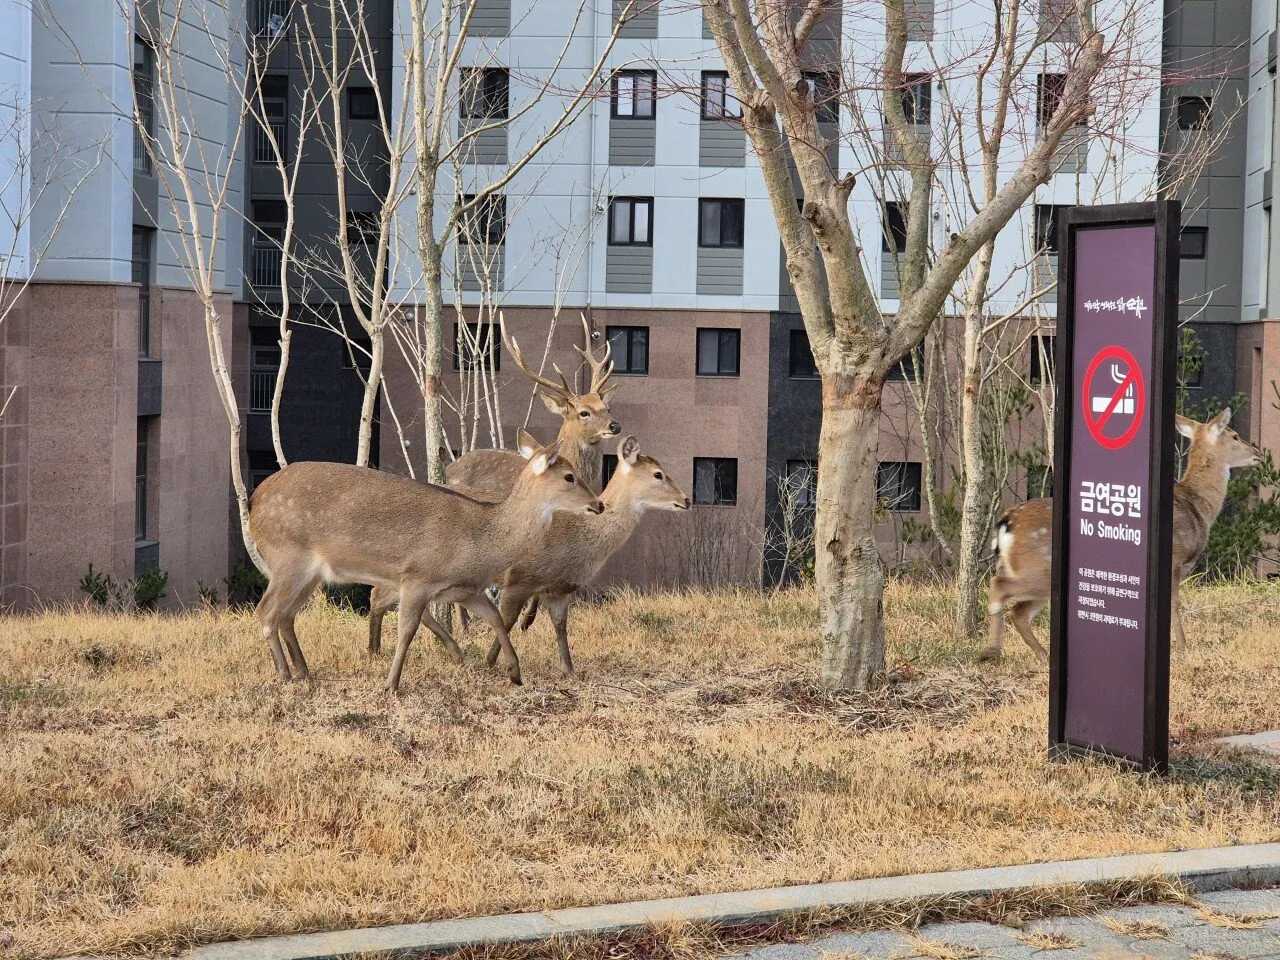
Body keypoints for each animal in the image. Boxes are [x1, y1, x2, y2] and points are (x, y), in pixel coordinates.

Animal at [256, 435, 609, 691]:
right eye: (569, 476)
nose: (599, 504)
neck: (482, 540)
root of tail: (255, 502)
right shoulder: (418, 576)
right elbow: (407, 630)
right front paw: (391, 684)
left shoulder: (465, 588)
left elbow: (494, 617)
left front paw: (514, 672)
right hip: (287, 556)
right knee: (267, 611)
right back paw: (285, 674)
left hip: (310, 573)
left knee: (286, 615)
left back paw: (304, 671)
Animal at [983, 409, 1264, 665]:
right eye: (1235, 436)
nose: (1258, 454)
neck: (1197, 507)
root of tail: (1006, 522)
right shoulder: (1174, 558)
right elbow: (1175, 604)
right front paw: (1183, 647)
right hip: (1040, 568)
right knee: (1000, 587)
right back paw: (991, 651)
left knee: (1018, 613)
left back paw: (1042, 657)